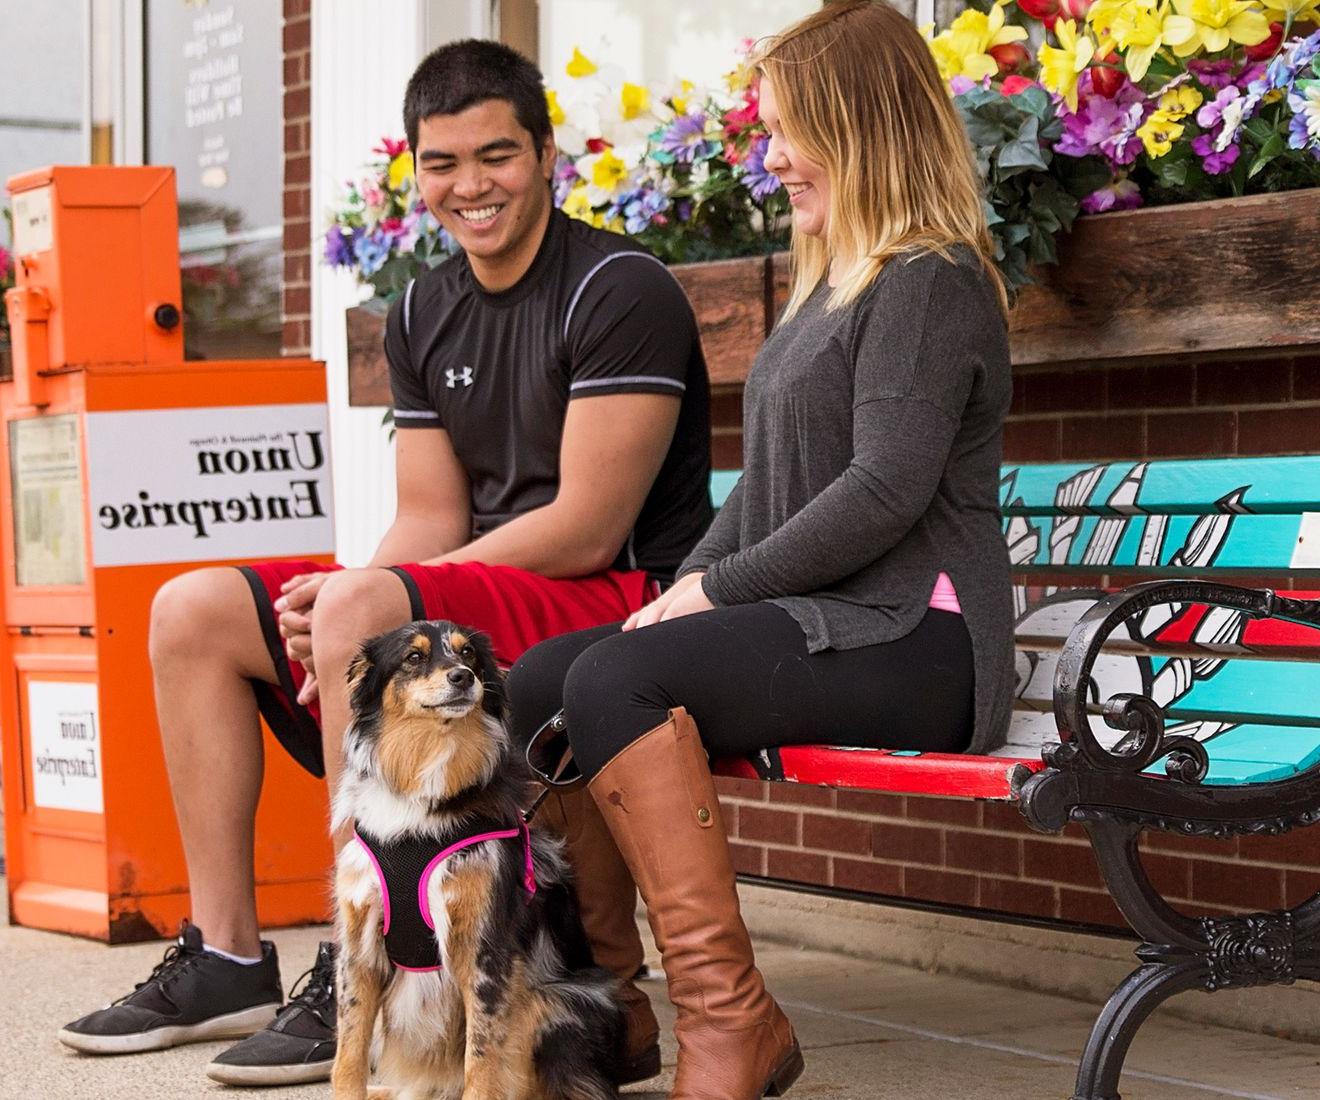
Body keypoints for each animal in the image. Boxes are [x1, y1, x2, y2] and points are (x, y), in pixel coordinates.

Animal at [327, 618, 620, 1098]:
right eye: (414, 657)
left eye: (468, 655)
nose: (463, 677)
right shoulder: (359, 946)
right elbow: (348, 1050)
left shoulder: (483, 946)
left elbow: (481, 1058)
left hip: (564, 999)